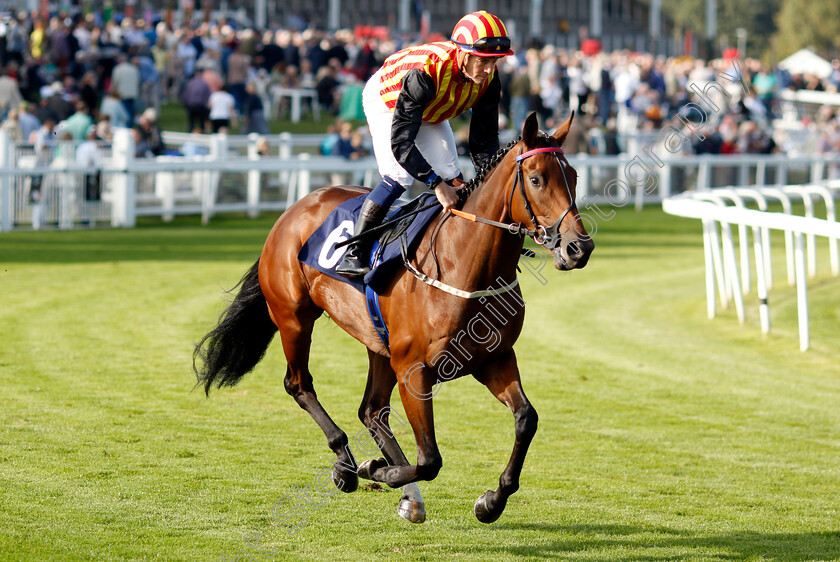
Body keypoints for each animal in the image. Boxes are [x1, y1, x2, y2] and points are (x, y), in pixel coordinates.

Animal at [194, 111, 592, 524]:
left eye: (575, 176)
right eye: (537, 179)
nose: (578, 248)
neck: (463, 265)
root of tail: (294, 209)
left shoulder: (494, 359)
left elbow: (526, 420)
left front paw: (491, 501)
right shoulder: (414, 369)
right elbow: (430, 459)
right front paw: (375, 469)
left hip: (378, 343)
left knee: (371, 410)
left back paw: (403, 492)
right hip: (294, 318)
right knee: (299, 385)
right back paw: (347, 464)